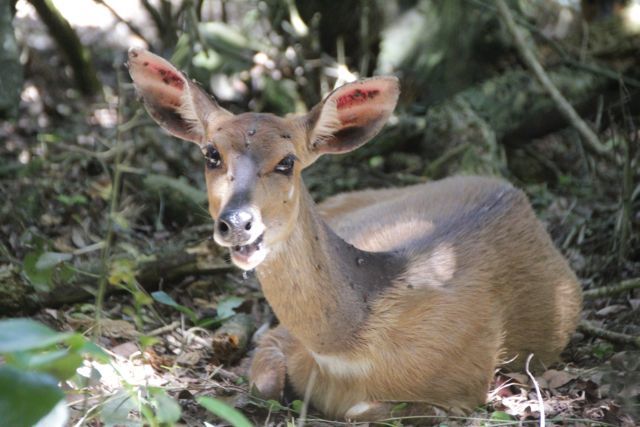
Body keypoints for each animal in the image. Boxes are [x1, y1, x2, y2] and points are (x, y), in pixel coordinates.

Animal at [127, 46, 584, 422]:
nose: (237, 223)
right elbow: (265, 381)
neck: (347, 349)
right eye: (212, 154)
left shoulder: (463, 387)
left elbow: (357, 411)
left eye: (287, 161)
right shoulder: (282, 337)